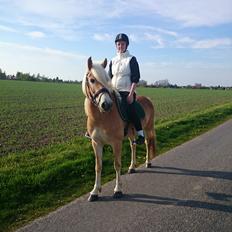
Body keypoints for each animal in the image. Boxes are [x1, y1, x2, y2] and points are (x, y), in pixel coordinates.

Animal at [82, 56, 156, 201]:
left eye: (107, 80)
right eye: (92, 80)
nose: (106, 104)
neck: (101, 116)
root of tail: (148, 99)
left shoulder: (116, 143)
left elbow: (117, 165)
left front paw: (118, 190)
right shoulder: (96, 143)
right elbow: (98, 166)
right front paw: (95, 191)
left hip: (148, 128)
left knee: (147, 142)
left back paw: (148, 162)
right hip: (132, 133)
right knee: (133, 145)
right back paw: (132, 167)